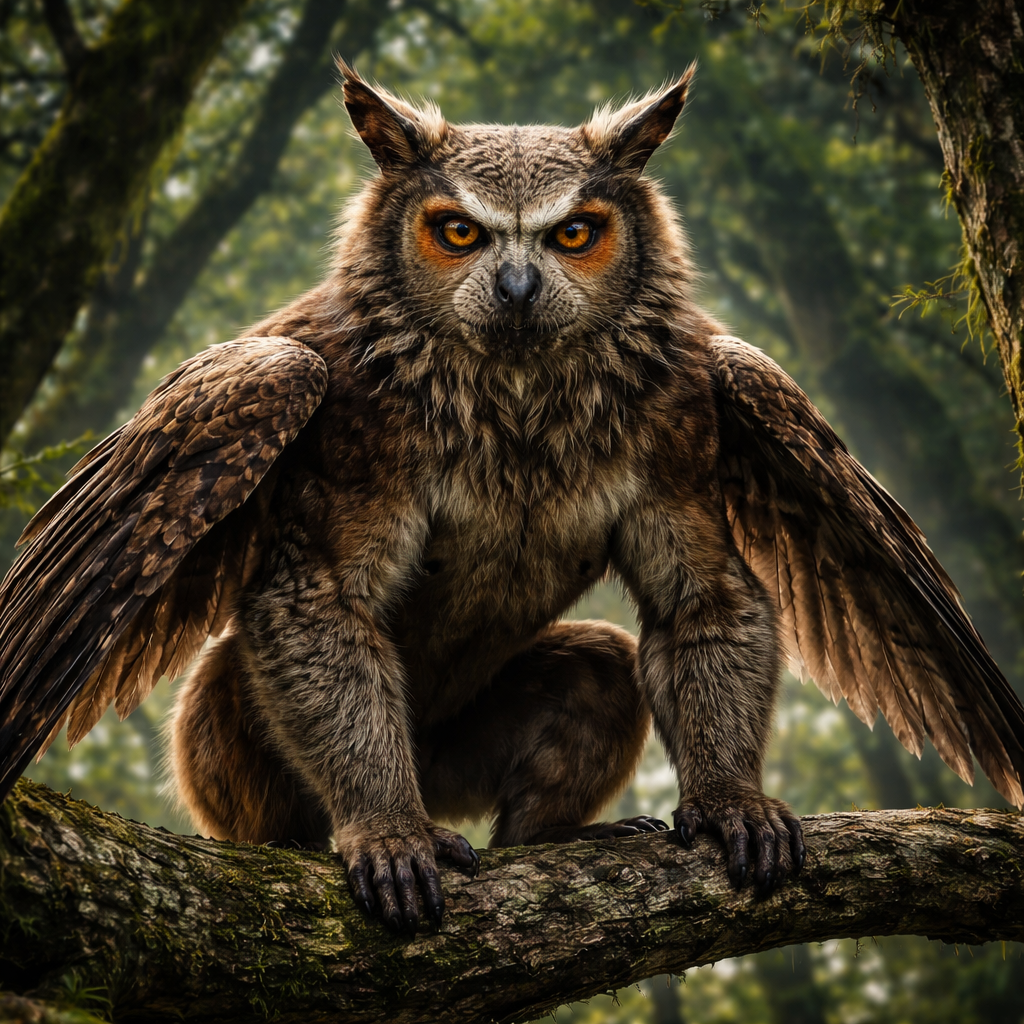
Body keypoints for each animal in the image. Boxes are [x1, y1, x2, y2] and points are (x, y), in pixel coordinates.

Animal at [1, 64, 1023, 936]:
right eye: (459, 231)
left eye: (575, 231)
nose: (519, 285)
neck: (520, 385)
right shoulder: (296, 443)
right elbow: (323, 607)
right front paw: (387, 833)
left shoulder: (705, 410)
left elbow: (704, 600)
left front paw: (729, 801)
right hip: (223, 715)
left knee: (601, 674)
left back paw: (561, 840)